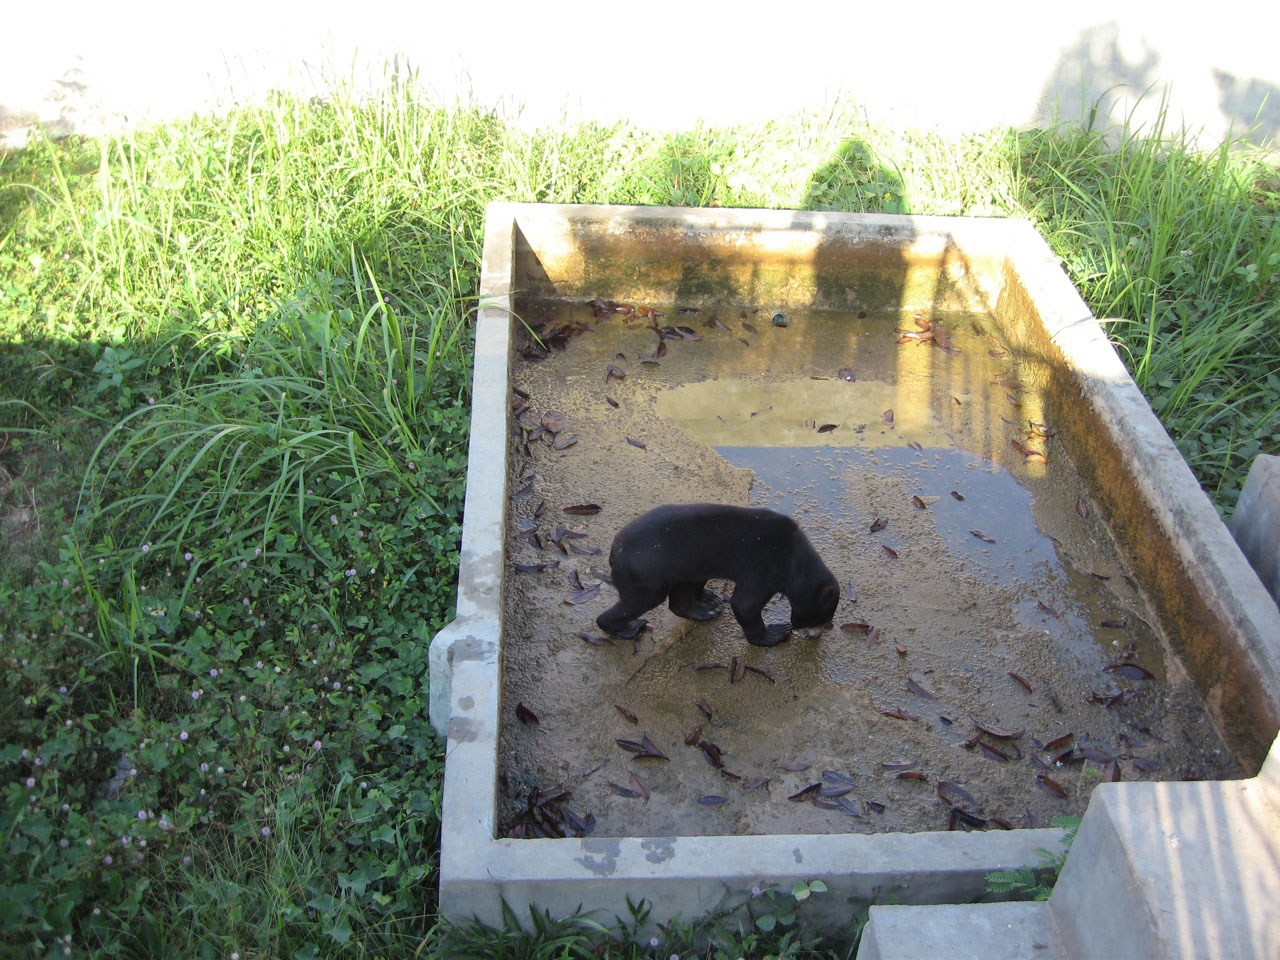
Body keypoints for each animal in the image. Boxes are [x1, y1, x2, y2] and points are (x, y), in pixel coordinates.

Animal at [595, 503, 840, 647]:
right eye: (822, 619)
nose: (816, 636)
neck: (796, 559)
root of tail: (614, 551)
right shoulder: (765, 568)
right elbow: (745, 604)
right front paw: (776, 633)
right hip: (646, 574)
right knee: (639, 601)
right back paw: (628, 628)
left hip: (685, 564)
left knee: (683, 595)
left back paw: (707, 608)